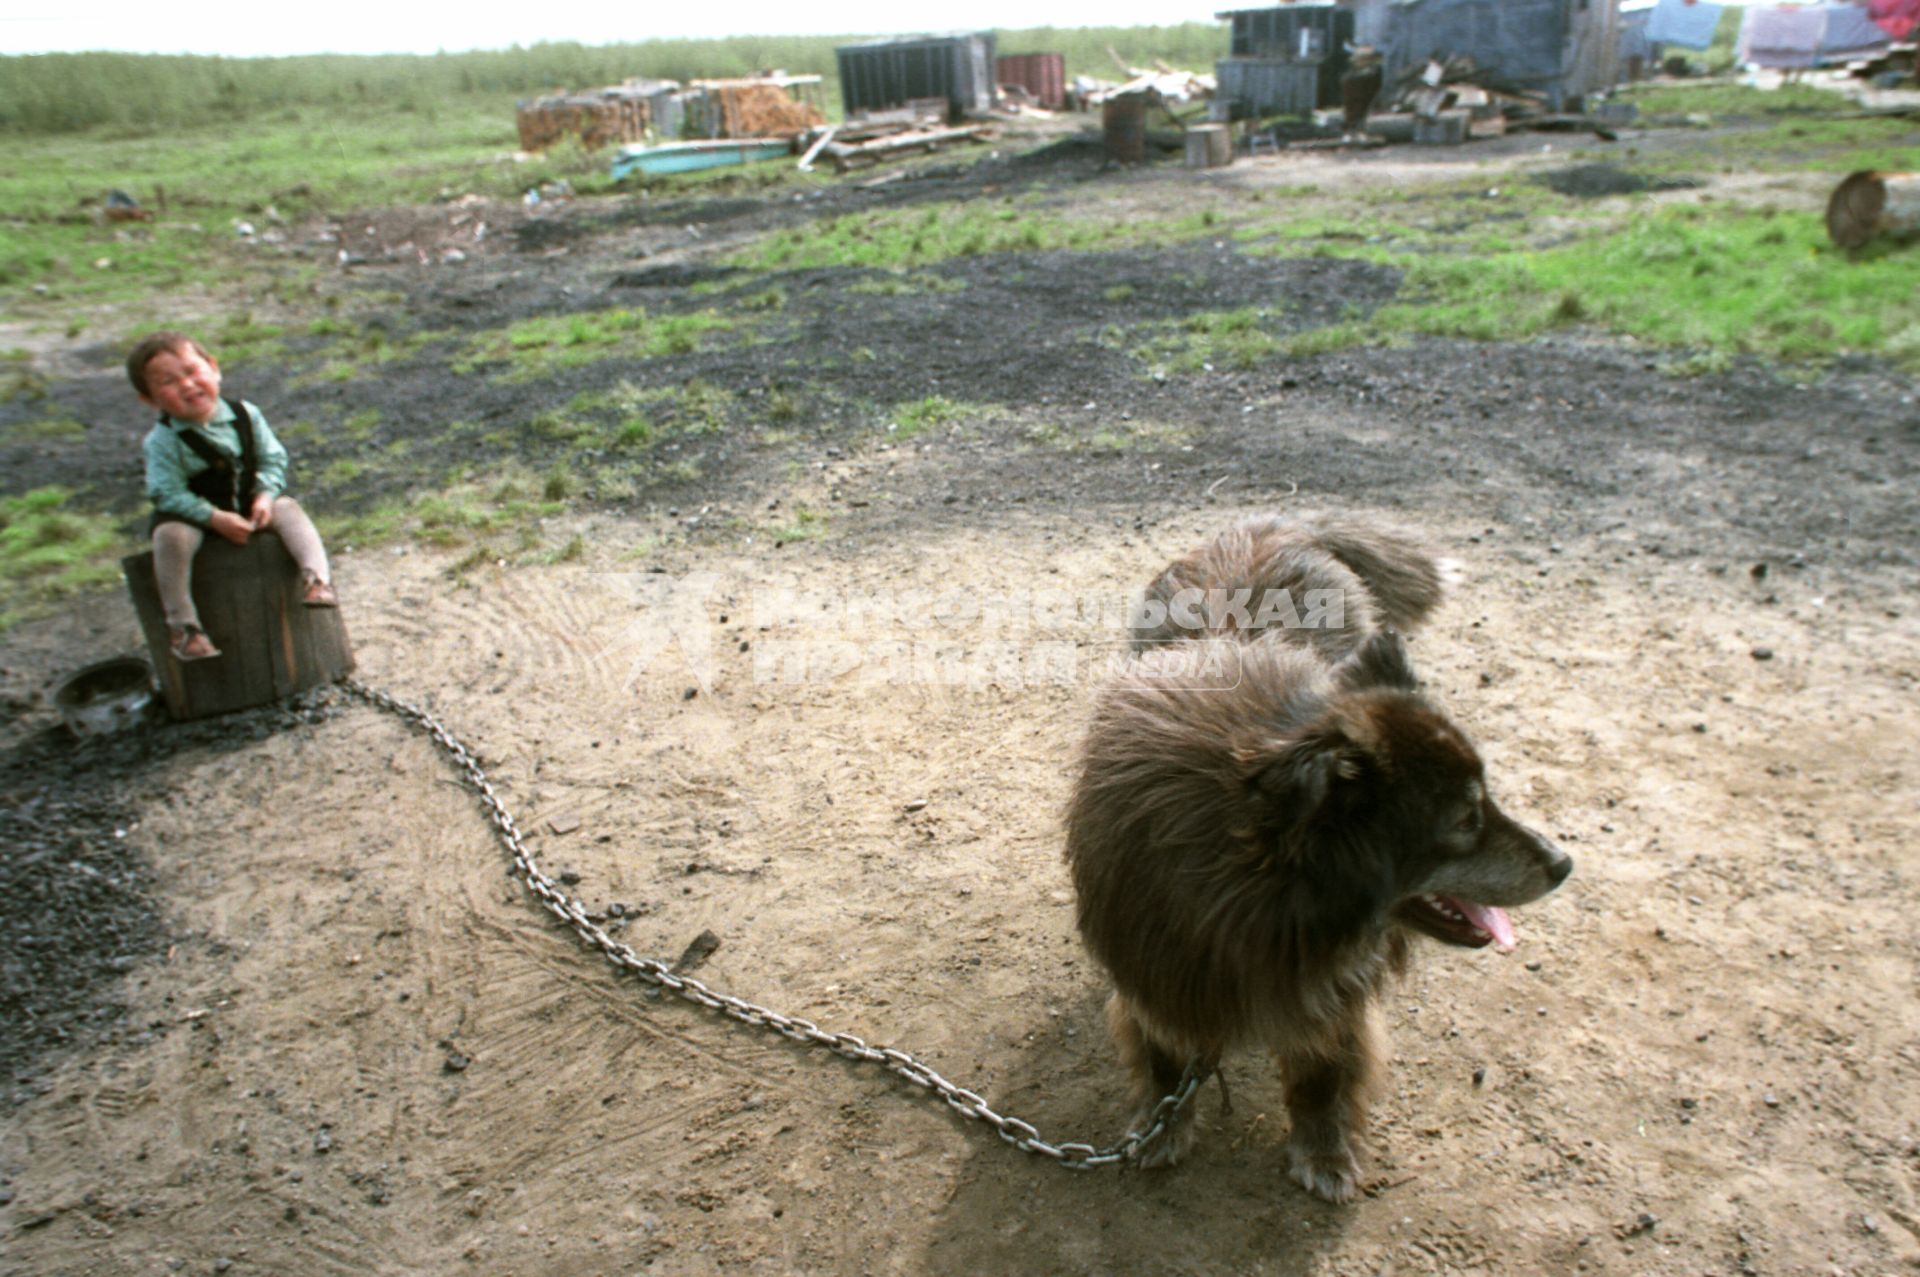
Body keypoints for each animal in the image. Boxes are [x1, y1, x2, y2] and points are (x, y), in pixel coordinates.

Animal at [1067, 514, 1574, 1198]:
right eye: (1466, 821)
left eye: (1486, 797)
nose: (1564, 863)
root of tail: (1271, 524)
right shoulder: (1157, 967)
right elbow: (1164, 1055)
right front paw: (1161, 1127)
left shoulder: (1334, 992)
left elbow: (1323, 1074)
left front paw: (1325, 1151)